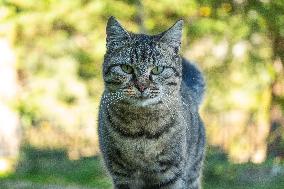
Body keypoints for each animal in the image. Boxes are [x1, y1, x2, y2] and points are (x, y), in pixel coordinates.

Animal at [98, 16, 205, 189]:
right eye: (126, 68)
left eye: (157, 69)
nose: (142, 86)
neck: (141, 132)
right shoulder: (122, 175)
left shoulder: (171, 174)